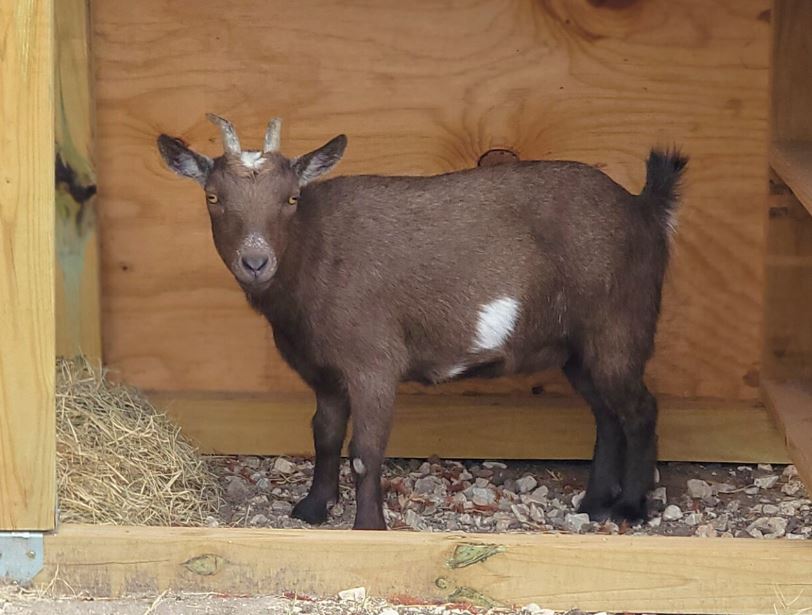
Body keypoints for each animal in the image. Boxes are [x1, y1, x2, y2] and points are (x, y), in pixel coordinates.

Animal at [157, 114, 687, 530]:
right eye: (212, 196)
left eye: (290, 198)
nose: (255, 261)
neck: (314, 250)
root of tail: (643, 207)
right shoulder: (324, 370)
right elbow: (324, 434)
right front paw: (312, 509)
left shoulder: (373, 362)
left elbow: (365, 451)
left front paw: (368, 527)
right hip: (578, 347)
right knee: (607, 414)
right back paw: (595, 503)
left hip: (619, 326)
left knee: (640, 409)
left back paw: (631, 508)